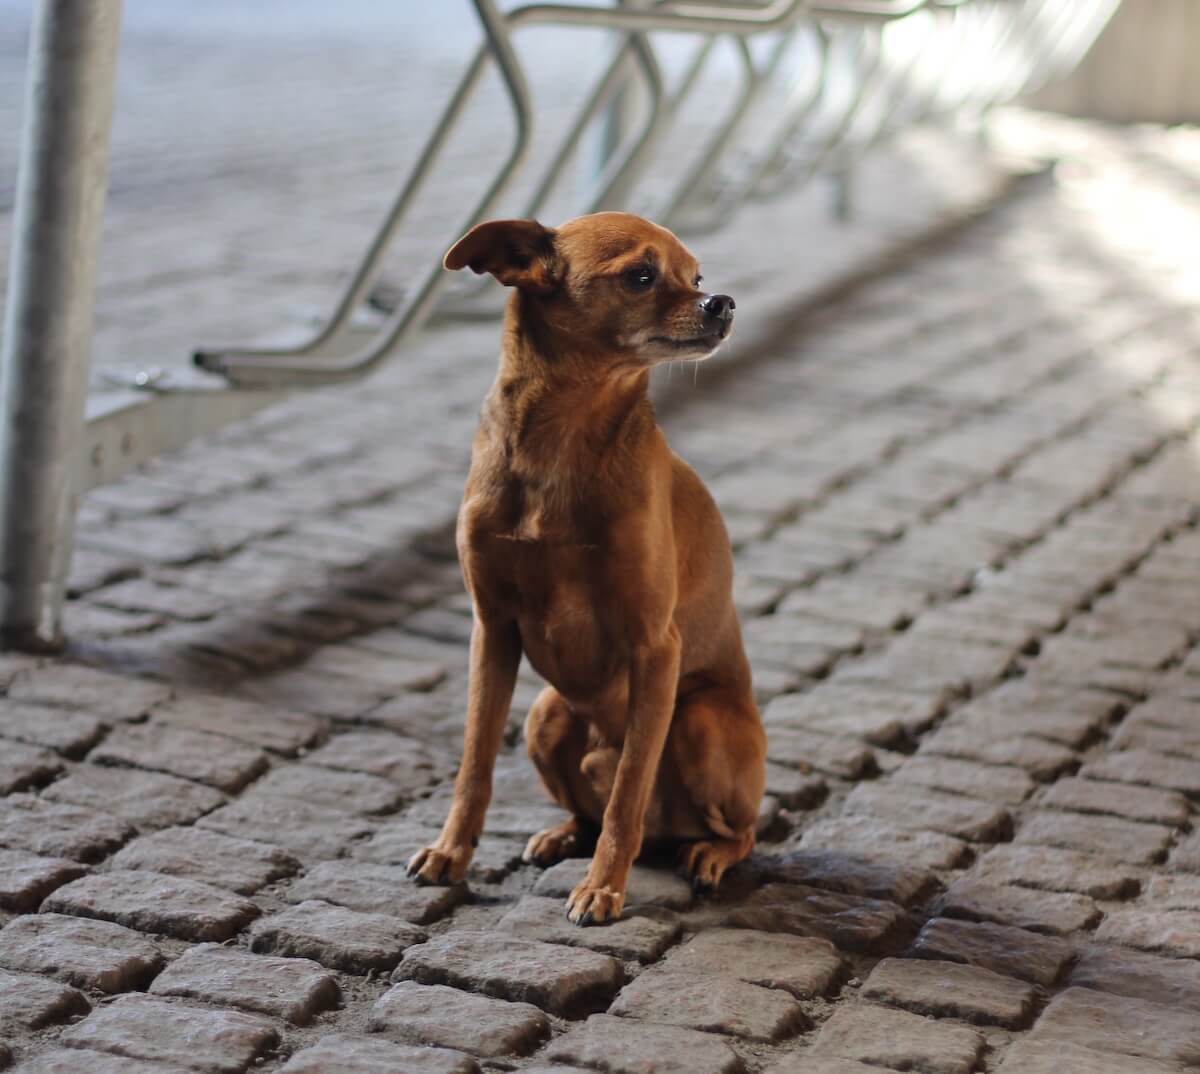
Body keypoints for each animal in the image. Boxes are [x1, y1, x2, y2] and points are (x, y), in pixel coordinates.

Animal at [410, 210, 768, 921]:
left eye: (697, 277)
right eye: (641, 275)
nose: (723, 302)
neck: (563, 437)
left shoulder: (656, 646)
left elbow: (629, 788)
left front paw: (603, 887)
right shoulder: (492, 631)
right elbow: (474, 765)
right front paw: (451, 852)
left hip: (701, 723)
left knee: (736, 828)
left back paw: (707, 856)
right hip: (545, 716)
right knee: (590, 806)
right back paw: (561, 835)